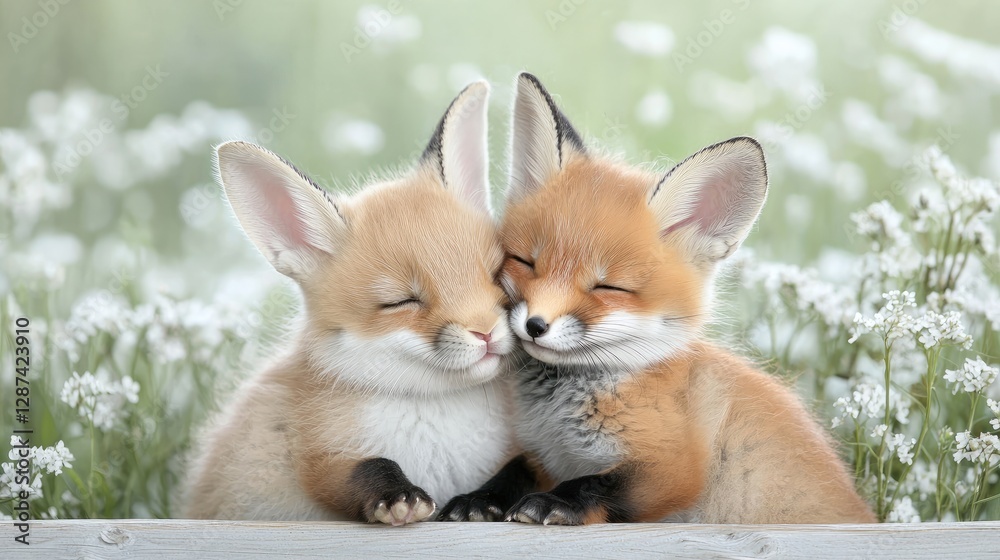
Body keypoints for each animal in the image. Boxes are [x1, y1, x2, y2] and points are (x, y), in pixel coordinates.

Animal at [182, 81, 518, 525]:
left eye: (495, 275)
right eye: (401, 301)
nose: (486, 333)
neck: (432, 409)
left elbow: (515, 471)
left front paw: (482, 501)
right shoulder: (319, 454)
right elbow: (369, 466)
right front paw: (398, 496)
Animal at [439, 73, 876, 525]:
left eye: (608, 287)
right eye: (525, 261)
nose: (535, 325)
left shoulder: (673, 467)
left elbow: (595, 483)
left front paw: (553, 503)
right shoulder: (545, 454)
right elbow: (513, 469)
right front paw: (479, 498)